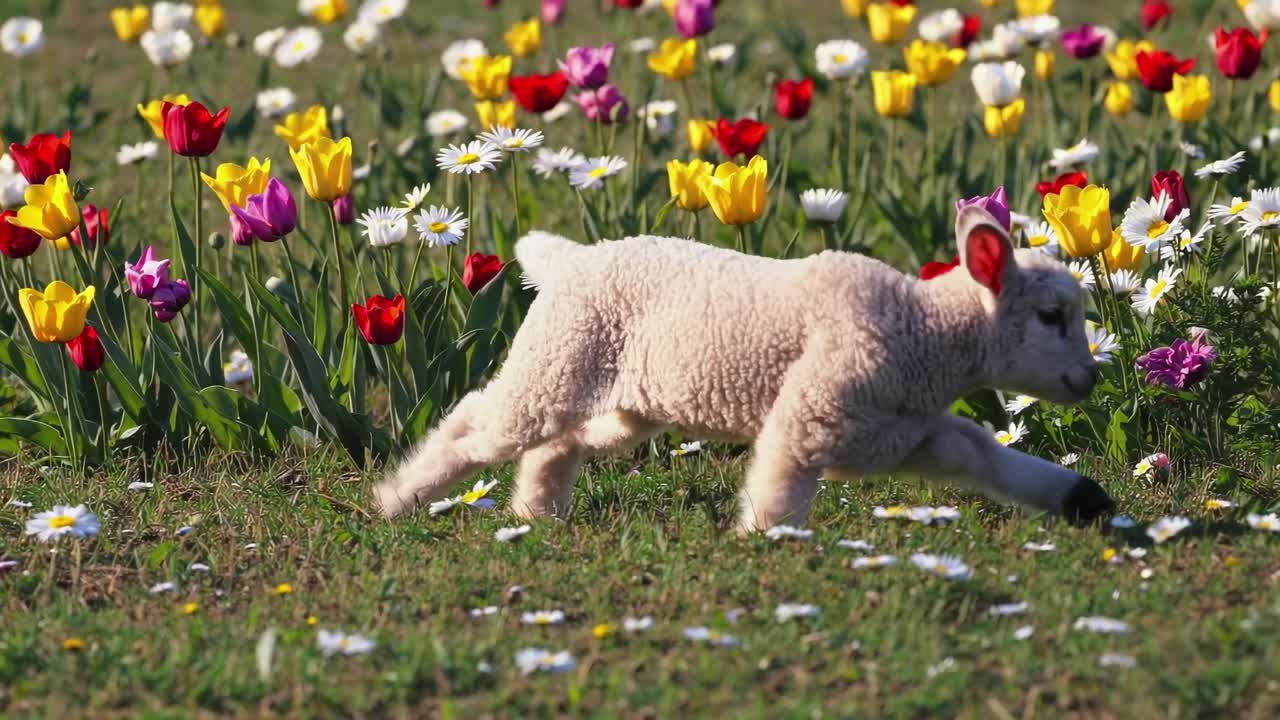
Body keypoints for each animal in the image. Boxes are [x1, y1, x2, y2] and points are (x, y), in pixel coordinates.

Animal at [373, 205, 1115, 530]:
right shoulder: (814, 412)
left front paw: (1082, 499)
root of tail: (568, 257)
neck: (926, 336)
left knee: (558, 443)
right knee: (482, 418)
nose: (1089, 380)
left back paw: (538, 513)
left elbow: (984, 458)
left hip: (621, 396)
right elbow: (780, 482)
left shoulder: (906, 430)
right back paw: (397, 496)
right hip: (557, 356)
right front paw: (765, 539)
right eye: (1053, 316)